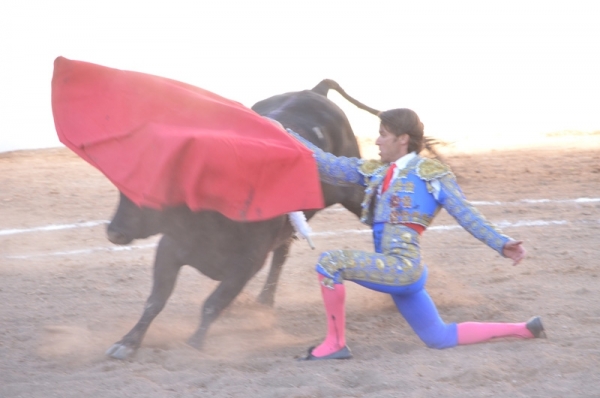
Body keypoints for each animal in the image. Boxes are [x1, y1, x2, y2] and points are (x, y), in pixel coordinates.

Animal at [104, 79, 380, 360]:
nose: (113, 232)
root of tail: (315, 91)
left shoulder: (247, 262)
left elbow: (212, 303)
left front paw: (193, 345)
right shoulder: (169, 248)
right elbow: (155, 301)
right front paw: (127, 342)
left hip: (351, 193)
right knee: (281, 254)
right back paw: (264, 301)